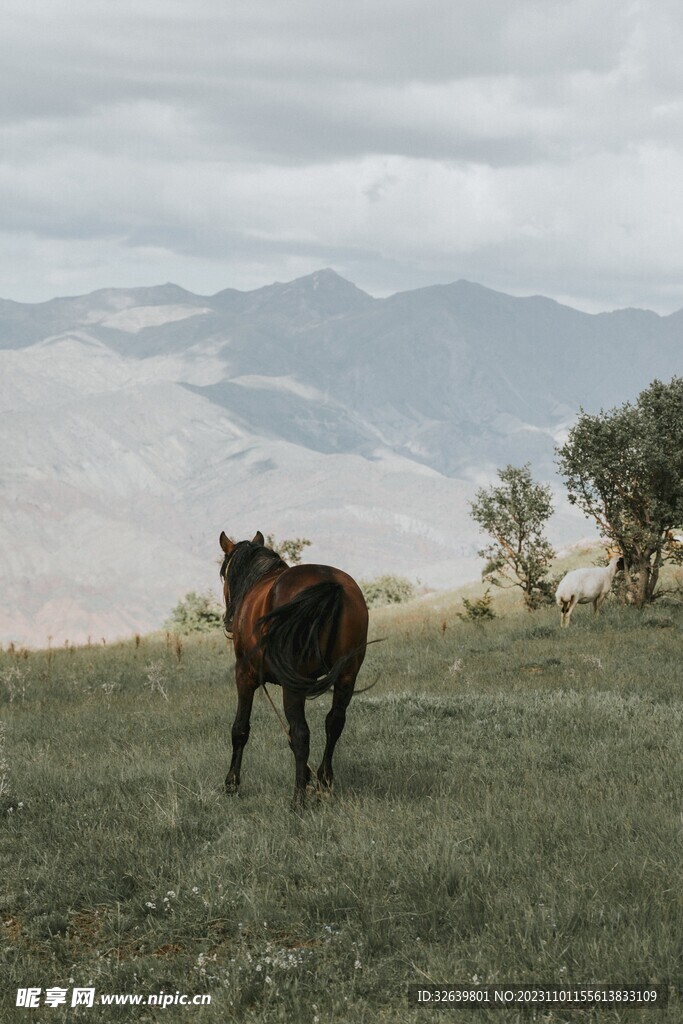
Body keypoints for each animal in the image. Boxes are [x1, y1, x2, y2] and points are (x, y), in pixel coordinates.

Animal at [219, 530, 369, 805]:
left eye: (224, 574)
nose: (228, 620)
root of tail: (331, 584)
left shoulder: (244, 675)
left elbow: (240, 729)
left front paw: (232, 784)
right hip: (347, 675)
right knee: (334, 723)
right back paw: (323, 780)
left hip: (293, 683)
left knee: (301, 734)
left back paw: (298, 799)